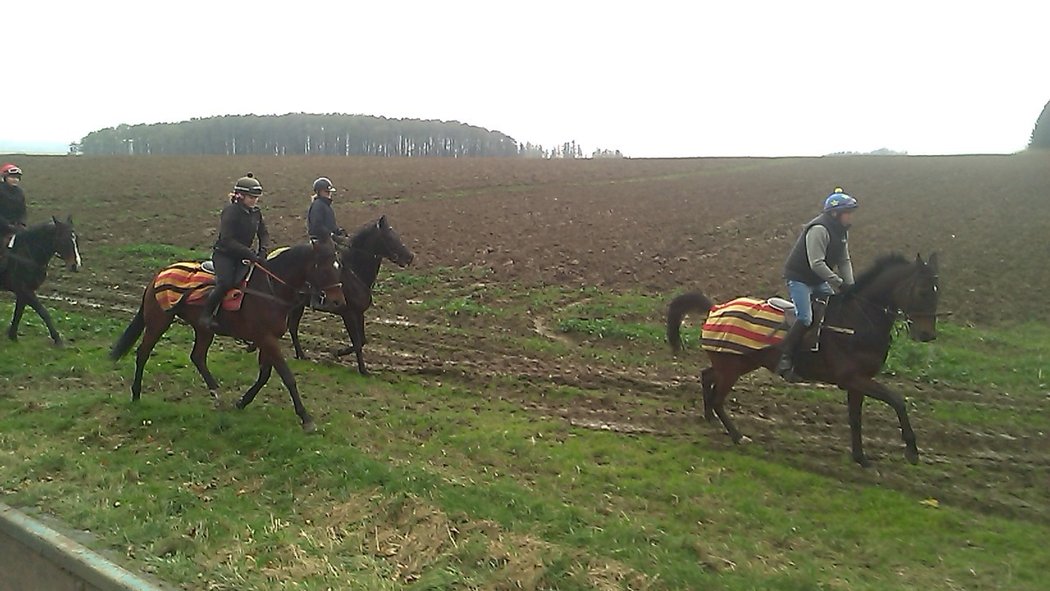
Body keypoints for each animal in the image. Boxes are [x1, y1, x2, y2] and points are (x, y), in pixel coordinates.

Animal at [1, 217, 81, 346]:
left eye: (75, 238)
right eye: (63, 239)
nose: (75, 265)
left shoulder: (23, 292)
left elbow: (18, 313)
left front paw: (12, 336)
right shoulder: (25, 290)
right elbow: (43, 312)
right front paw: (58, 339)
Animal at [112, 237, 346, 434]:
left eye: (338, 266)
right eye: (324, 267)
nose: (338, 301)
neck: (270, 289)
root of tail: (159, 274)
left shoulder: (267, 340)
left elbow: (264, 375)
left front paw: (242, 402)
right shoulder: (267, 339)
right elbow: (287, 377)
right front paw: (306, 418)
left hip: (203, 330)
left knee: (197, 357)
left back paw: (217, 395)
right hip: (158, 321)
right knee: (143, 353)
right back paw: (136, 394)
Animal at [291, 216, 417, 373]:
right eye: (389, 236)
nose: (410, 257)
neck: (355, 271)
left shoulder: (359, 313)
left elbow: (362, 341)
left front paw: (339, 353)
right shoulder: (348, 314)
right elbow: (356, 342)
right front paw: (363, 370)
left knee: (292, 327)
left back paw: (300, 355)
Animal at [667, 254, 940, 468]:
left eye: (938, 292)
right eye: (922, 291)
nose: (927, 335)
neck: (856, 320)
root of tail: (716, 308)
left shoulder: (857, 383)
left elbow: (855, 419)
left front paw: (860, 457)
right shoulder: (855, 378)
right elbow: (897, 401)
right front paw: (912, 451)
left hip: (737, 364)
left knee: (707, 377)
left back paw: (709, 418)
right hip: (732, 368)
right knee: (718, 398)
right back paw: (737, 436)